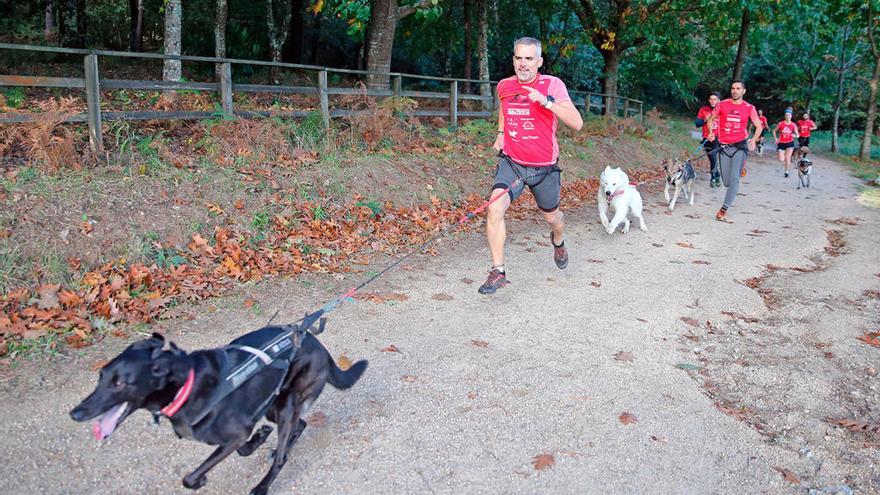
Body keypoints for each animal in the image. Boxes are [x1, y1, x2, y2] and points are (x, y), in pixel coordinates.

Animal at [69, 328, 368, 494]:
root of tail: (320, 346)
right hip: (273, 402)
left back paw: (262, 485)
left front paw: (200, 480)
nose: (76, 413)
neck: (186, 385)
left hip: (285, 403)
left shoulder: (237, 432)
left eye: (120, 383)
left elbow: (191, 477)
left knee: (284, 452)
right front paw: (260, 439)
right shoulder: (238, 432)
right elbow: (243, 449)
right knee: (300, 425)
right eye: (101, 377)